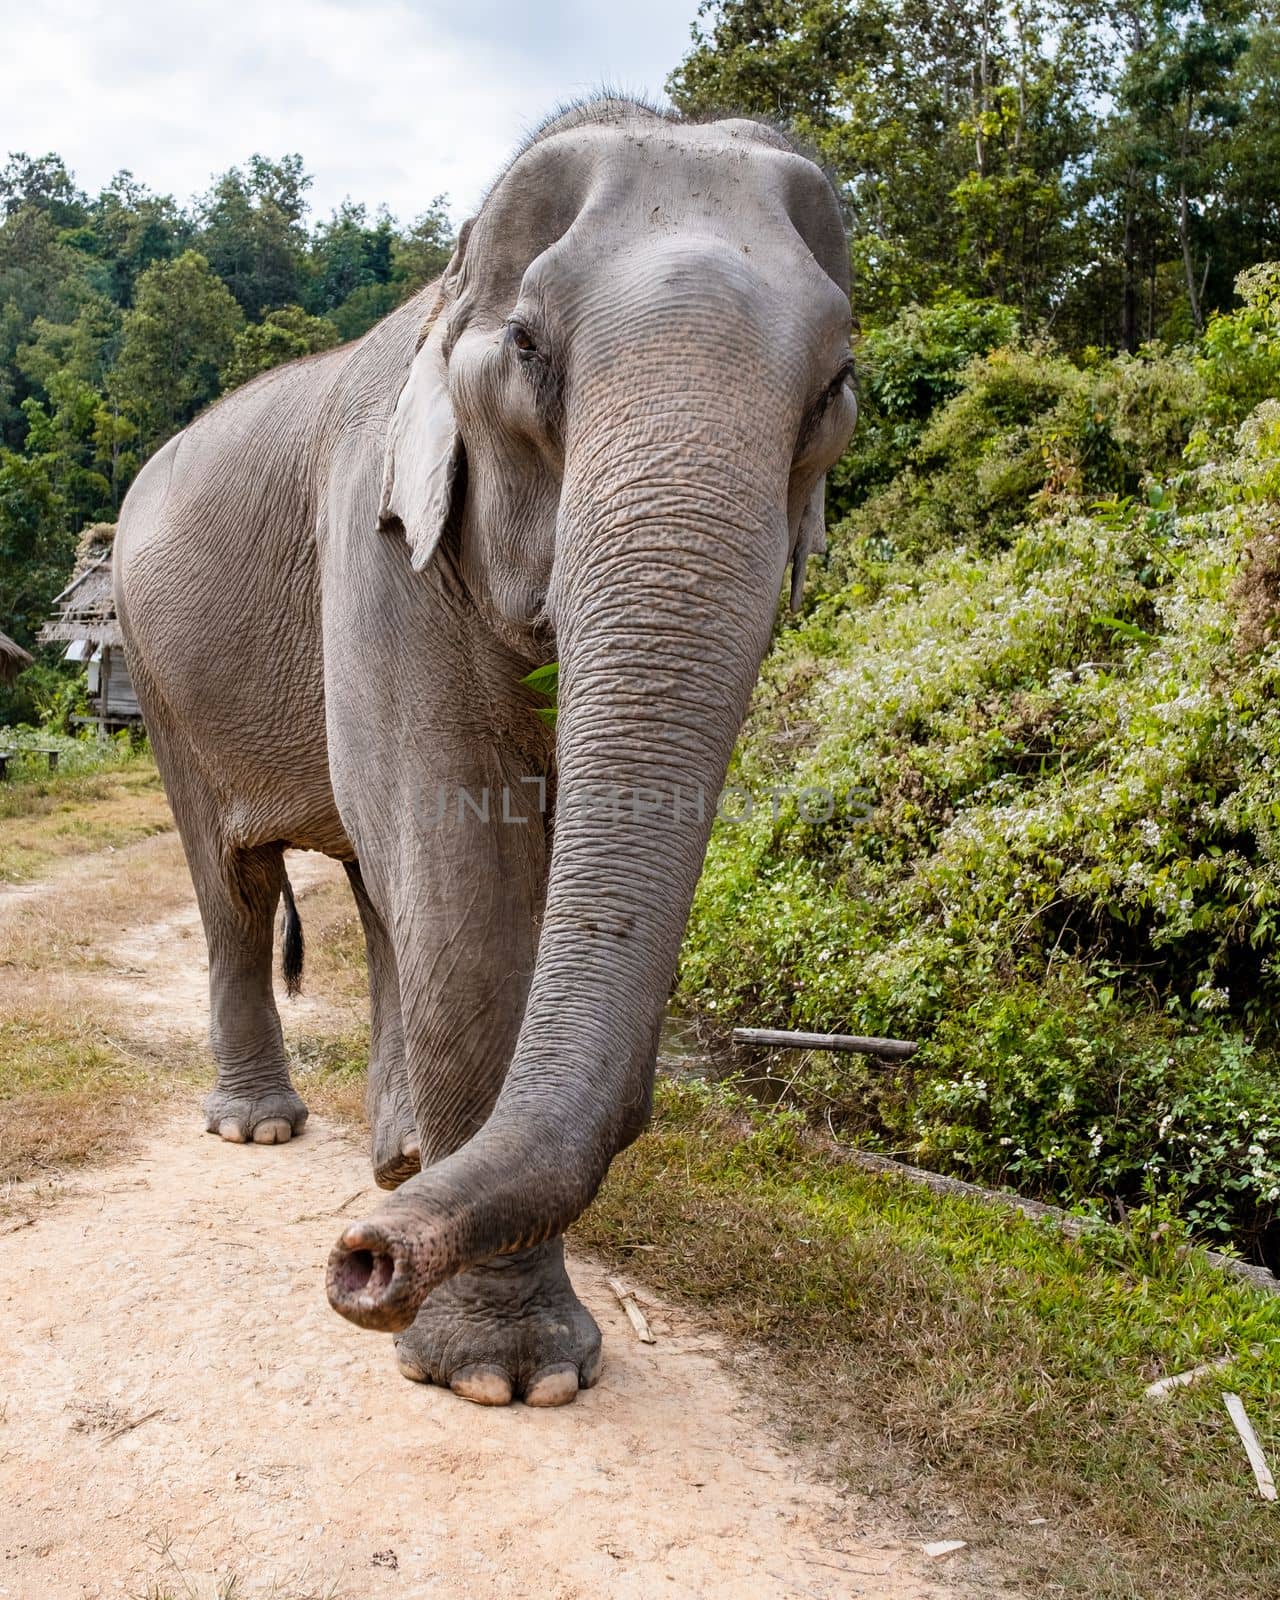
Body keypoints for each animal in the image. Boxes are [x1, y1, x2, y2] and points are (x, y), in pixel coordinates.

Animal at [115, 93, 857, 1408]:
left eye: (834, 387)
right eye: (528, 349)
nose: (360, 1262)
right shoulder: (377, 543)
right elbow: (459, 856)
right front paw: (503, 1379)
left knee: (369, 883)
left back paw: (396, 1161)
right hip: (155, 671)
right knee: (235, 885)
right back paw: (263, 1130)